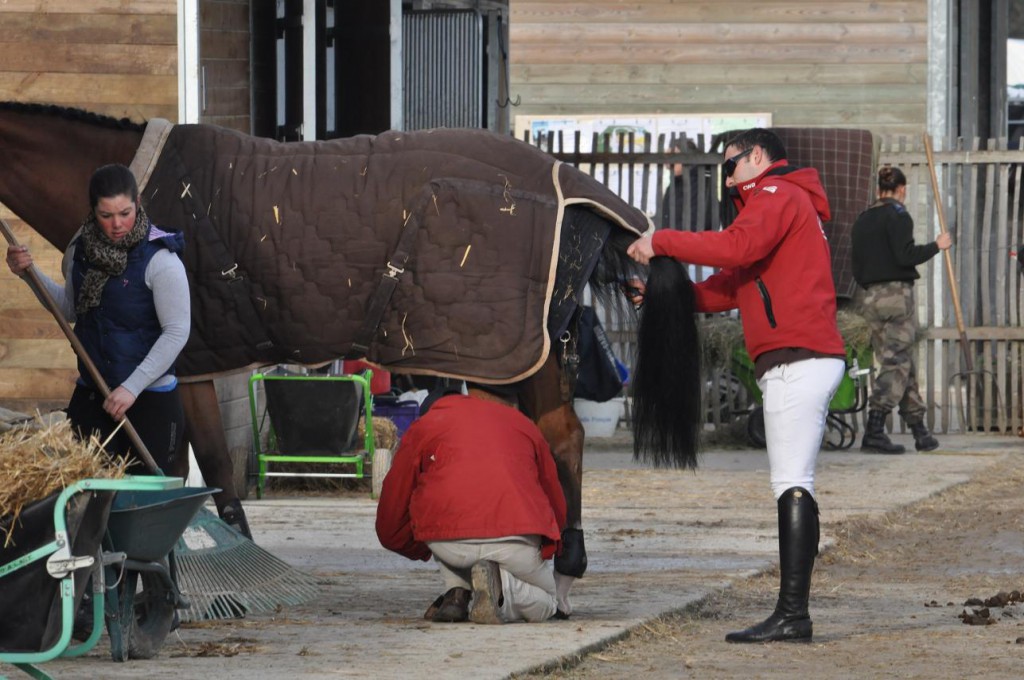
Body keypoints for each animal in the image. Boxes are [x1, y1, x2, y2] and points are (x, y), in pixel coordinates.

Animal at [0, 100, 704, 577]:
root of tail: (579, 189)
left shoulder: (187, 359)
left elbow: (200, 469)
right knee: (550, 434)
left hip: (509, 352)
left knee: (558, 435)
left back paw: (562, 557)